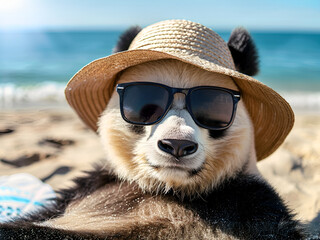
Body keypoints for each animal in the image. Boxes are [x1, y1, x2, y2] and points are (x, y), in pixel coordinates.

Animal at [0, 20, 306, 240]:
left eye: (212, 108)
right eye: (146, 104)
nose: (177, 145)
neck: (171, 191)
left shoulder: (248, 206)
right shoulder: (88, 189)